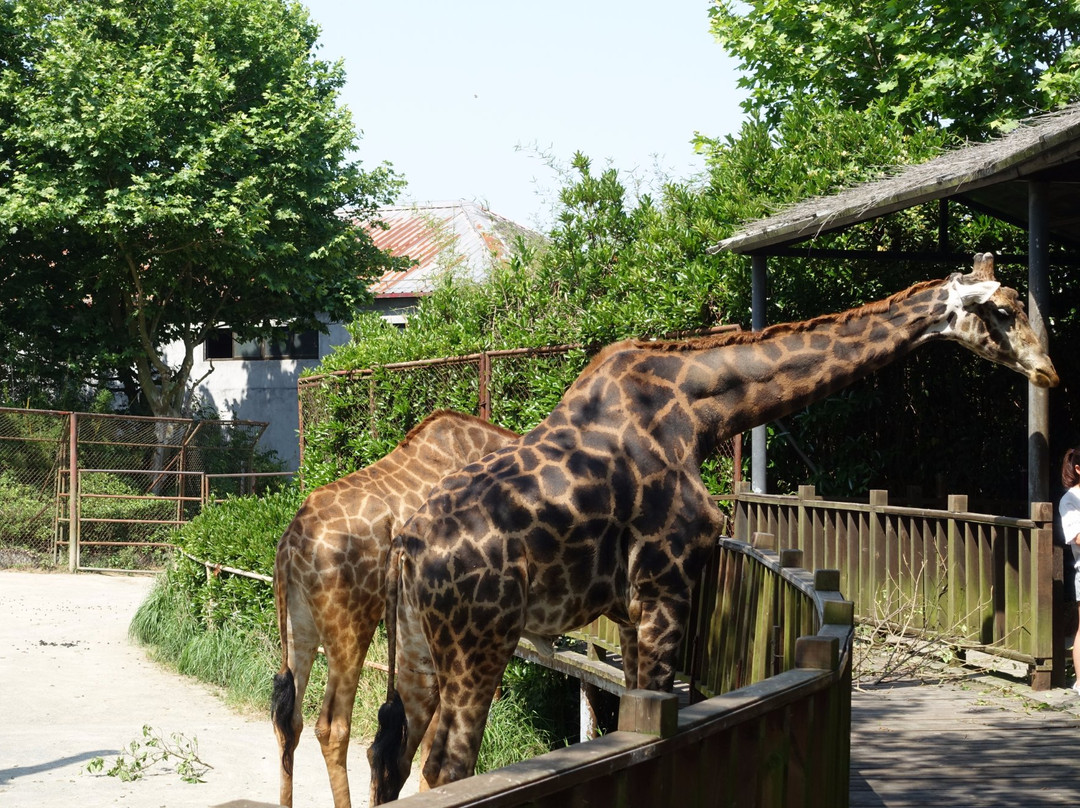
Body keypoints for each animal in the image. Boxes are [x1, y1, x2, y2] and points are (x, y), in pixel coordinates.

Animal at [367, 253, 1058, 803]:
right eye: (1003, 310)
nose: (1049, 370)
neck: (703, 413)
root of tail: (407, 547)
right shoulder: (667, 585)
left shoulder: (630, 610)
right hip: (480, 643)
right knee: (444, 769)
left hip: (417, 645)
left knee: (389, 754)